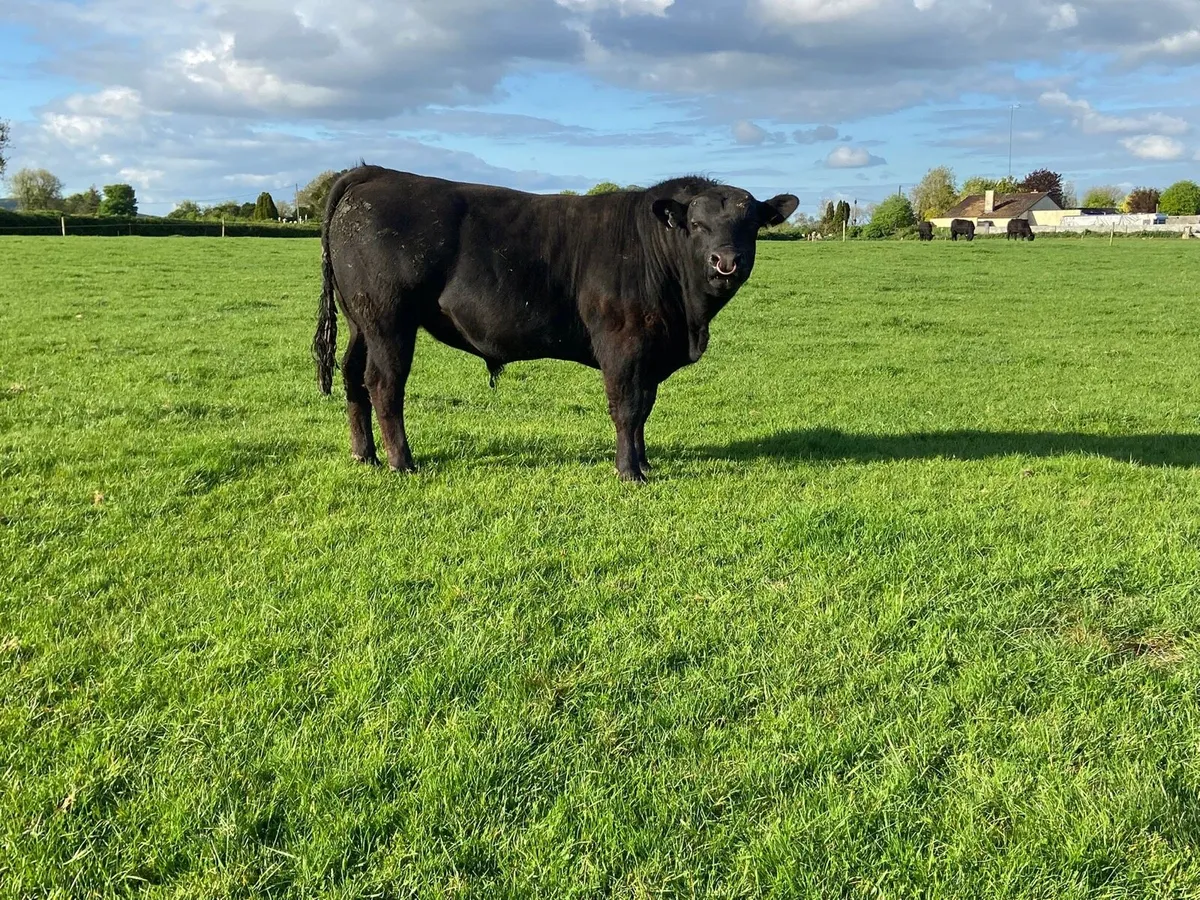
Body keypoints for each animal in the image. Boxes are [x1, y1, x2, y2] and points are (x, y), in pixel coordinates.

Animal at [312, 166, 799, 481]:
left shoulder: (650, 352)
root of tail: (375, 173)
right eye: (696, 224)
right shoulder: (622, 344)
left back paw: (364, 455)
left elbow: (644, 408)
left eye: (751, 225)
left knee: (352, 376)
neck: (688, 318)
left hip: (360, 322)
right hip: (389, 319)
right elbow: (626, 408)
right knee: (384, 384)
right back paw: (402, 462)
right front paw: (629, 472)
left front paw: (643, 462)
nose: (725, 261)